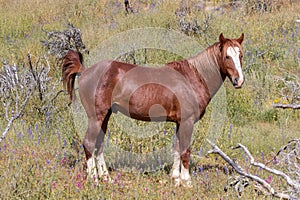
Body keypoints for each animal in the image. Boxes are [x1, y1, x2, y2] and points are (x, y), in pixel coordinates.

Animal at [61, 32, 244, 187]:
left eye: (240, 55)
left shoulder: (179, 122)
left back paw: (106, 178)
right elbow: (185, 151)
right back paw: (94, 180)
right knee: (89, 143)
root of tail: (85, 71)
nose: (239, 80)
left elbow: (176, 149)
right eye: (227, 56)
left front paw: (175, 179)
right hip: (96, 117)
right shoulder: (187, 121)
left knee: (98, 145)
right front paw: (187, 182)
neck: (193, 77)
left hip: (105, 117)